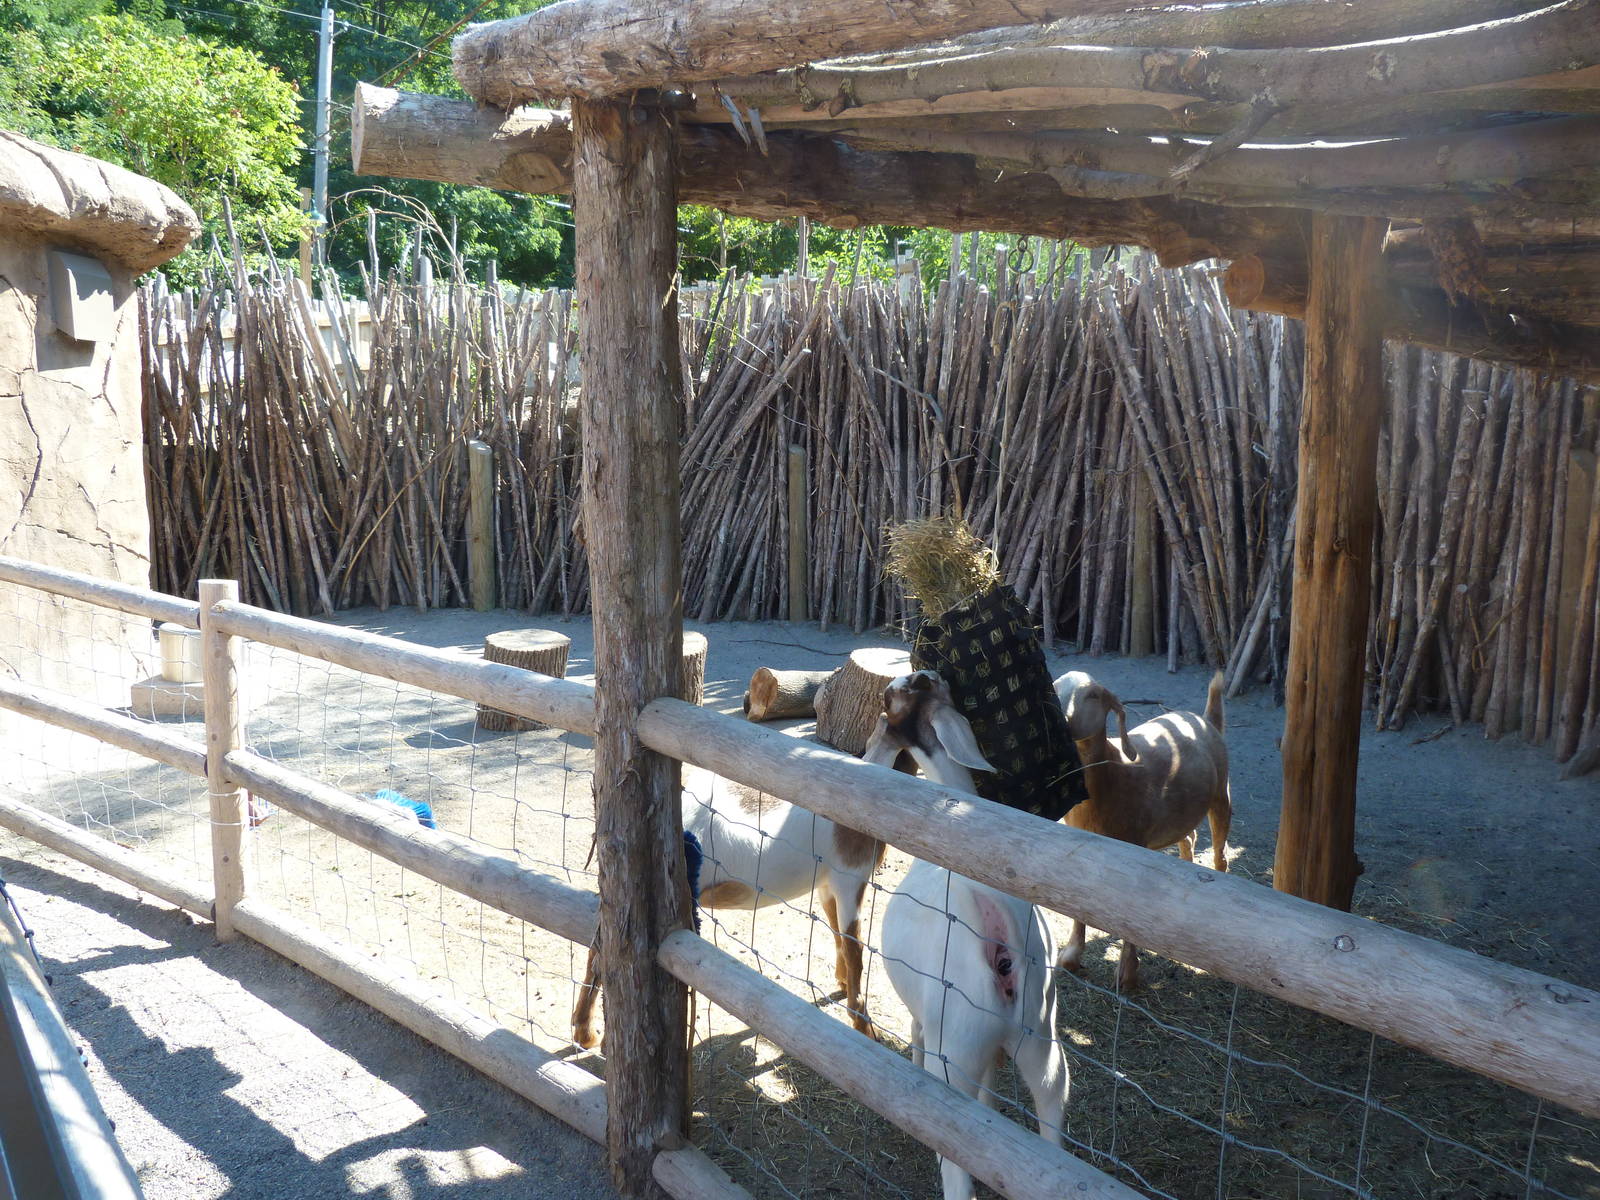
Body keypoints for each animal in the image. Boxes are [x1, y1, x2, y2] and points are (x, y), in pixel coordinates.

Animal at [571, 760, 886, 1049]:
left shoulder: (826, 886)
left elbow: (837, 934)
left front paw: (842, 982)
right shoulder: (850, 879)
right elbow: (855, 947)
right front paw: (865, 1027)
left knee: (598, 948)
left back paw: (584, 1032)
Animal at [868, 671, 1069, 1200]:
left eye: (890, 697)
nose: (926, 673)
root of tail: (999, 950)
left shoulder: (928, 1021)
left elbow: (915, 1036)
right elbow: (991, 1090)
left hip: (954, 1052)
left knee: (956, 1153)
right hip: (1040, 1036)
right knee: (1051, 1108)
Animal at [1052, 669, 1231, 990]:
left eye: (1093, 695)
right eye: (1055, 687)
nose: (1062, 717)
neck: (1114, 770)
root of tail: (1204, 718)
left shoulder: (1132, 844)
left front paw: (1127, 974)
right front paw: (1071, 957)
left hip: (1221, 794)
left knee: (1220, 855)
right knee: (1189, 837)